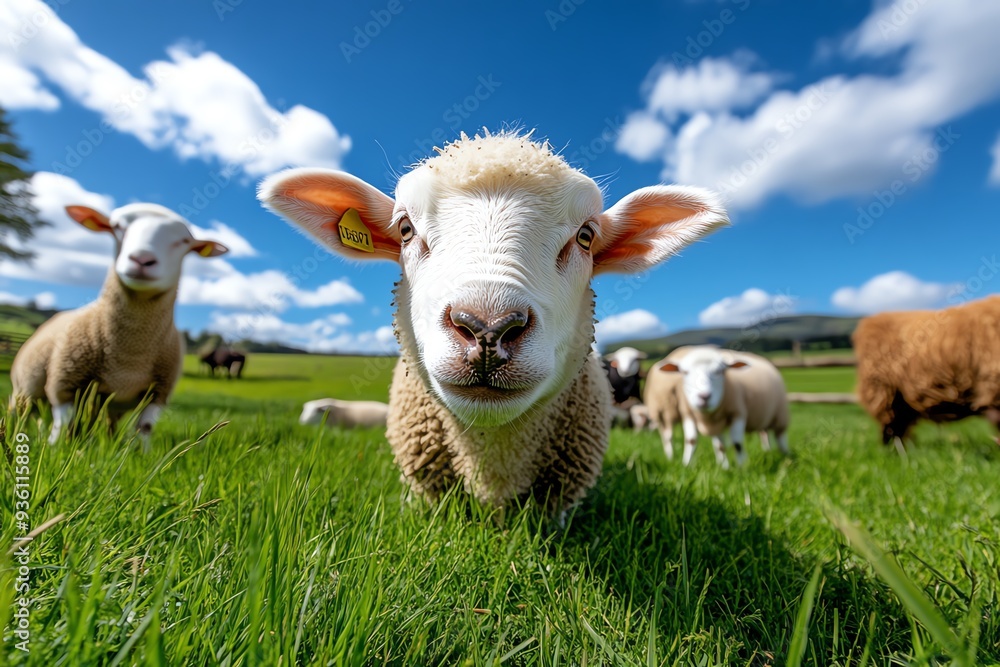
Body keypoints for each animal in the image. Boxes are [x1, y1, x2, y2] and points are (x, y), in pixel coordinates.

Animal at [10, 203, 228, 444]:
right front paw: (54, 447)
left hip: (103, 403)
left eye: (184, 241)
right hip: (24, 389)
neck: (129, 357)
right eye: (117, 227)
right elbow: (62, 424)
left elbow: (145, 428)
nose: (142, 259)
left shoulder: (158, 394)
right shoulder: (63, 383)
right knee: (22, 415)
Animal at [656, 347, 790, 468]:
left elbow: (737, 443)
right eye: (684, 372)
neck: (706, 415)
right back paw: (767, 451)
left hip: (780, 414)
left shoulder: (738, 413)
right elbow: (693, 441)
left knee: (780, 436)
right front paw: (688, 465)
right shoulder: (689, 414)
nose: (704, 397)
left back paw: (786, 456)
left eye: (719, 371)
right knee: (764, 434)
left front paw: (742, 468)